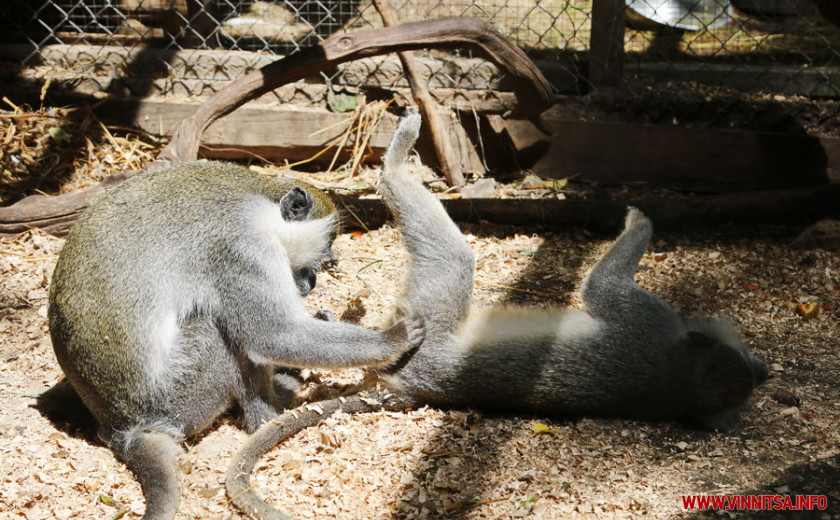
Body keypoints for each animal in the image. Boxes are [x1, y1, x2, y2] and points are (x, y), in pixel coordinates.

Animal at [46, 160, 426, 516]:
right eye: (318, 258)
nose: (310, 284)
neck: (260, 198)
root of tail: (123, 428)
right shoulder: (243, 246)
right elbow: (273, 333)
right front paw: (392, 339)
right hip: (178, 398)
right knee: (218, 328)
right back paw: (270, 415)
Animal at [226, 114, 772, 520]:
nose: (757, 364)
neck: (678, 379)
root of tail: (411, 387)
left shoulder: (649, 325)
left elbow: (602, 290)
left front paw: (639, 218)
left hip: (429, 325)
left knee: (451, 259)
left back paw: (396, 161)